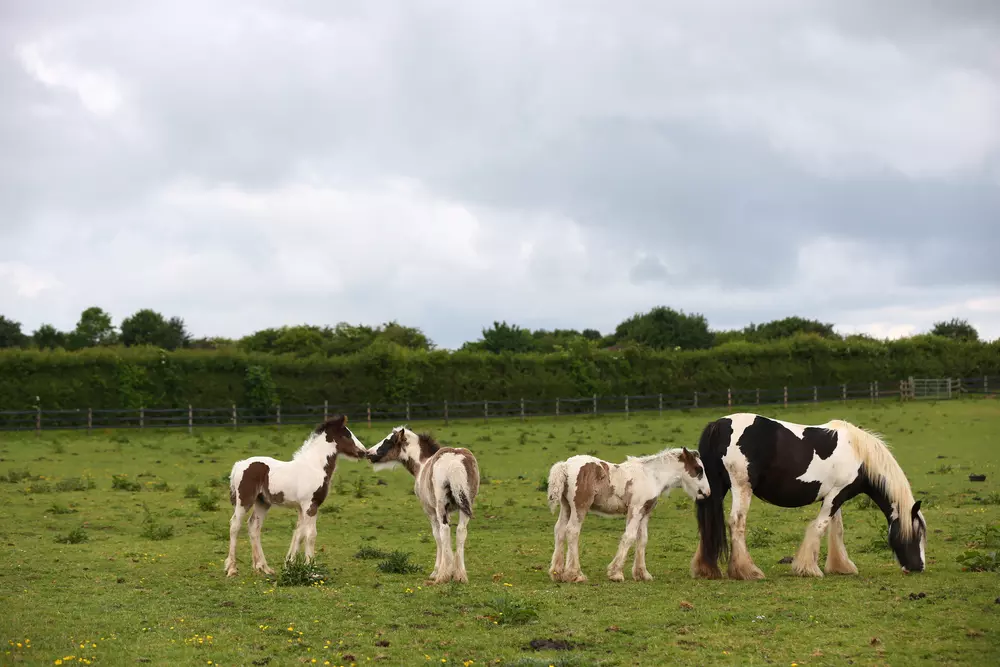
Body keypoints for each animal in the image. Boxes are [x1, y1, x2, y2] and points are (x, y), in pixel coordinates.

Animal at [223, 415, 368, 577]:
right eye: (347, 435)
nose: (364, 452)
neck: (314, 467)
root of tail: (239, 465)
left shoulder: (301, 508)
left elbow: (299, 534)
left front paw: (290, 565)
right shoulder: (310, 505)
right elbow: (310, 535)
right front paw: (312, 569)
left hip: (263, 502)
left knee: (254, 526)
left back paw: (263, 567)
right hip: (244, 500)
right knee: (235, 525)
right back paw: (232, 569)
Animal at [366, 426, 480, 584]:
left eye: (388, 441)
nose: (368, 453)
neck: (421, 464)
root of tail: (454, 462)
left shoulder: (430, 511)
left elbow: (437, 536)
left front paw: (437, 571)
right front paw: (451, 569)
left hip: (440, 507)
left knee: (444, 531)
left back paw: (442, 576)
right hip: (466, 504)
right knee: (461, 531)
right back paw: (460, 575)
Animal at [546, 447, 711, 583]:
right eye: (698, 469)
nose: (707, 493)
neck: (652, 476)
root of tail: (565, 466)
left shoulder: (645, 512)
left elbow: (642, 539)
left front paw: (642, 574)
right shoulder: (635, 509)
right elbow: (629, 537)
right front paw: (616, 573)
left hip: (566, 507)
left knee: (559, 530)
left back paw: (557, 573)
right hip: (580, 507)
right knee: (572, 531)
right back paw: (575, 575)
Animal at [690, 412, 927, 581]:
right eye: (916, 534)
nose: (919, 567)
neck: (859, 454)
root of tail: (718, 425)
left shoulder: (835, 496)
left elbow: (836, 529)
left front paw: (841, 566)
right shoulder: (836, 495)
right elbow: (820, 527)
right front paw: (808, 569)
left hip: (715, 489)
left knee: (708, 524)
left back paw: (706, 569)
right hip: (741, 488)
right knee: (736, 523)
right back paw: (746, 571)